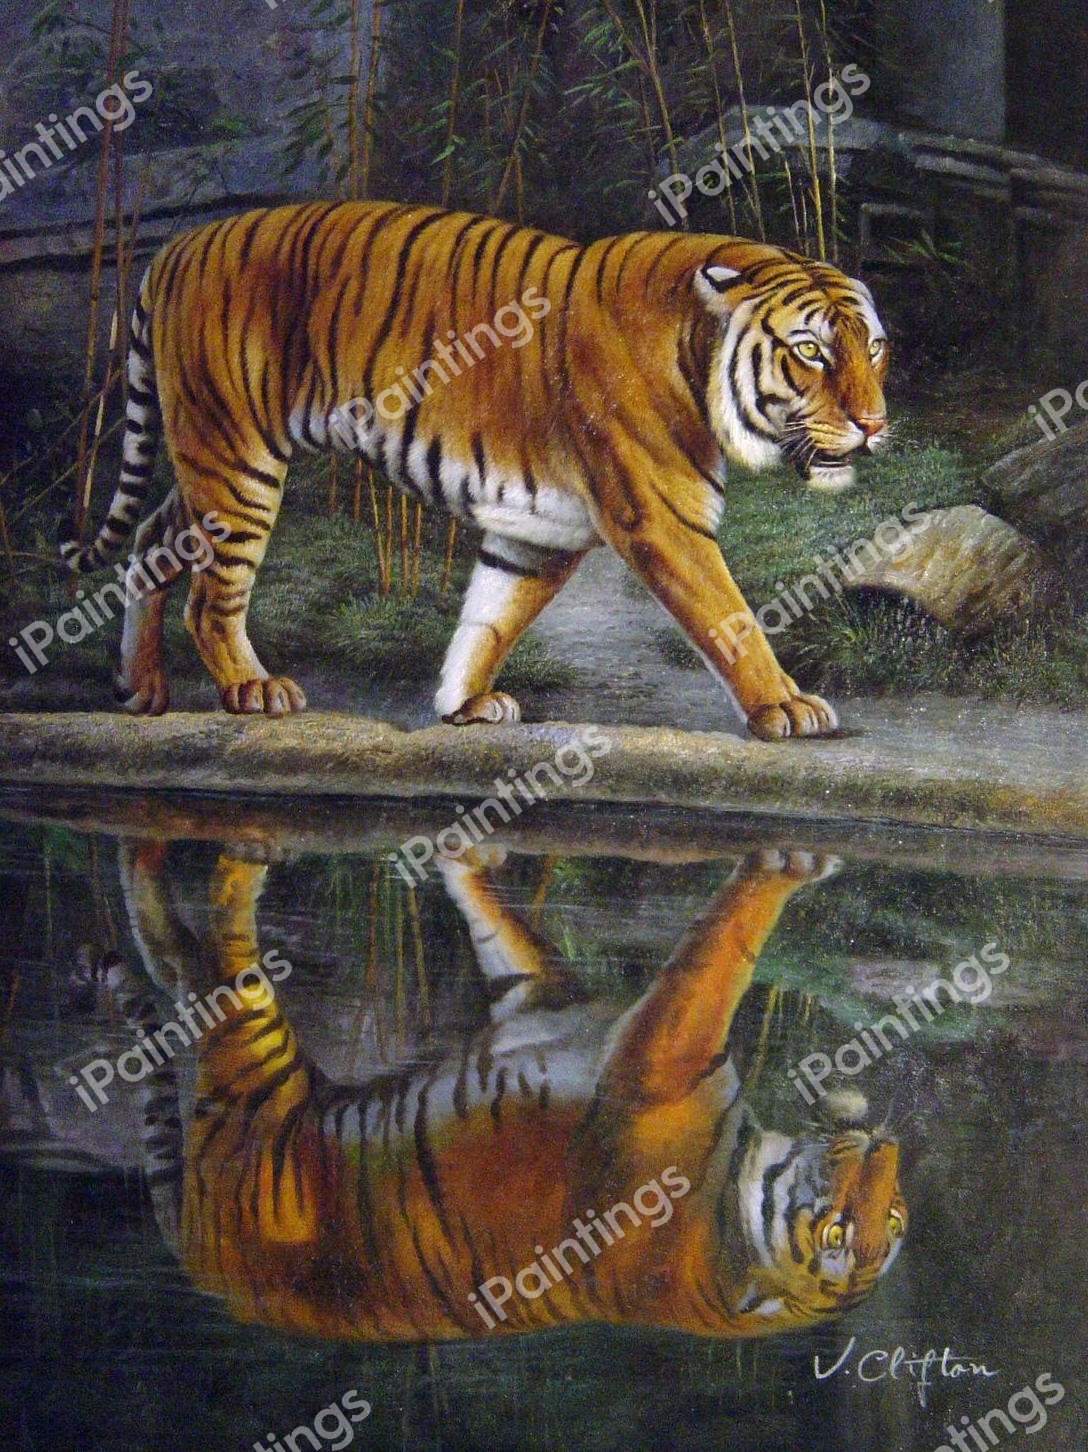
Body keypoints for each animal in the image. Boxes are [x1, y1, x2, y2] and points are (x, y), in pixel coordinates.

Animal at [53, 839, 906, 1342]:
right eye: (848, 1227)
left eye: (874, 1226)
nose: (885, 1143)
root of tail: (207, 1272)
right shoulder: (556, 1007)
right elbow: (499, 918)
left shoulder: (656, 1049)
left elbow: (729, 946)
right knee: (182, 954)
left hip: (254, 1072)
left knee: (204, 958)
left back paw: (244, 857)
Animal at [58, 201, 889, 738]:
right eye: (811, 351)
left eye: (873, 347)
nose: (875, 424)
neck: (695, 347)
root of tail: (175, 247)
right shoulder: (661, 519)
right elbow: (730, 618)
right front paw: (785, 707)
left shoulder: (540, 531)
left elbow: (490, 617)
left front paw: (462, 705)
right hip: (239, 460)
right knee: (210, 595)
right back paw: (252, 689)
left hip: (215, 456)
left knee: (153, 542)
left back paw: (140, 688)